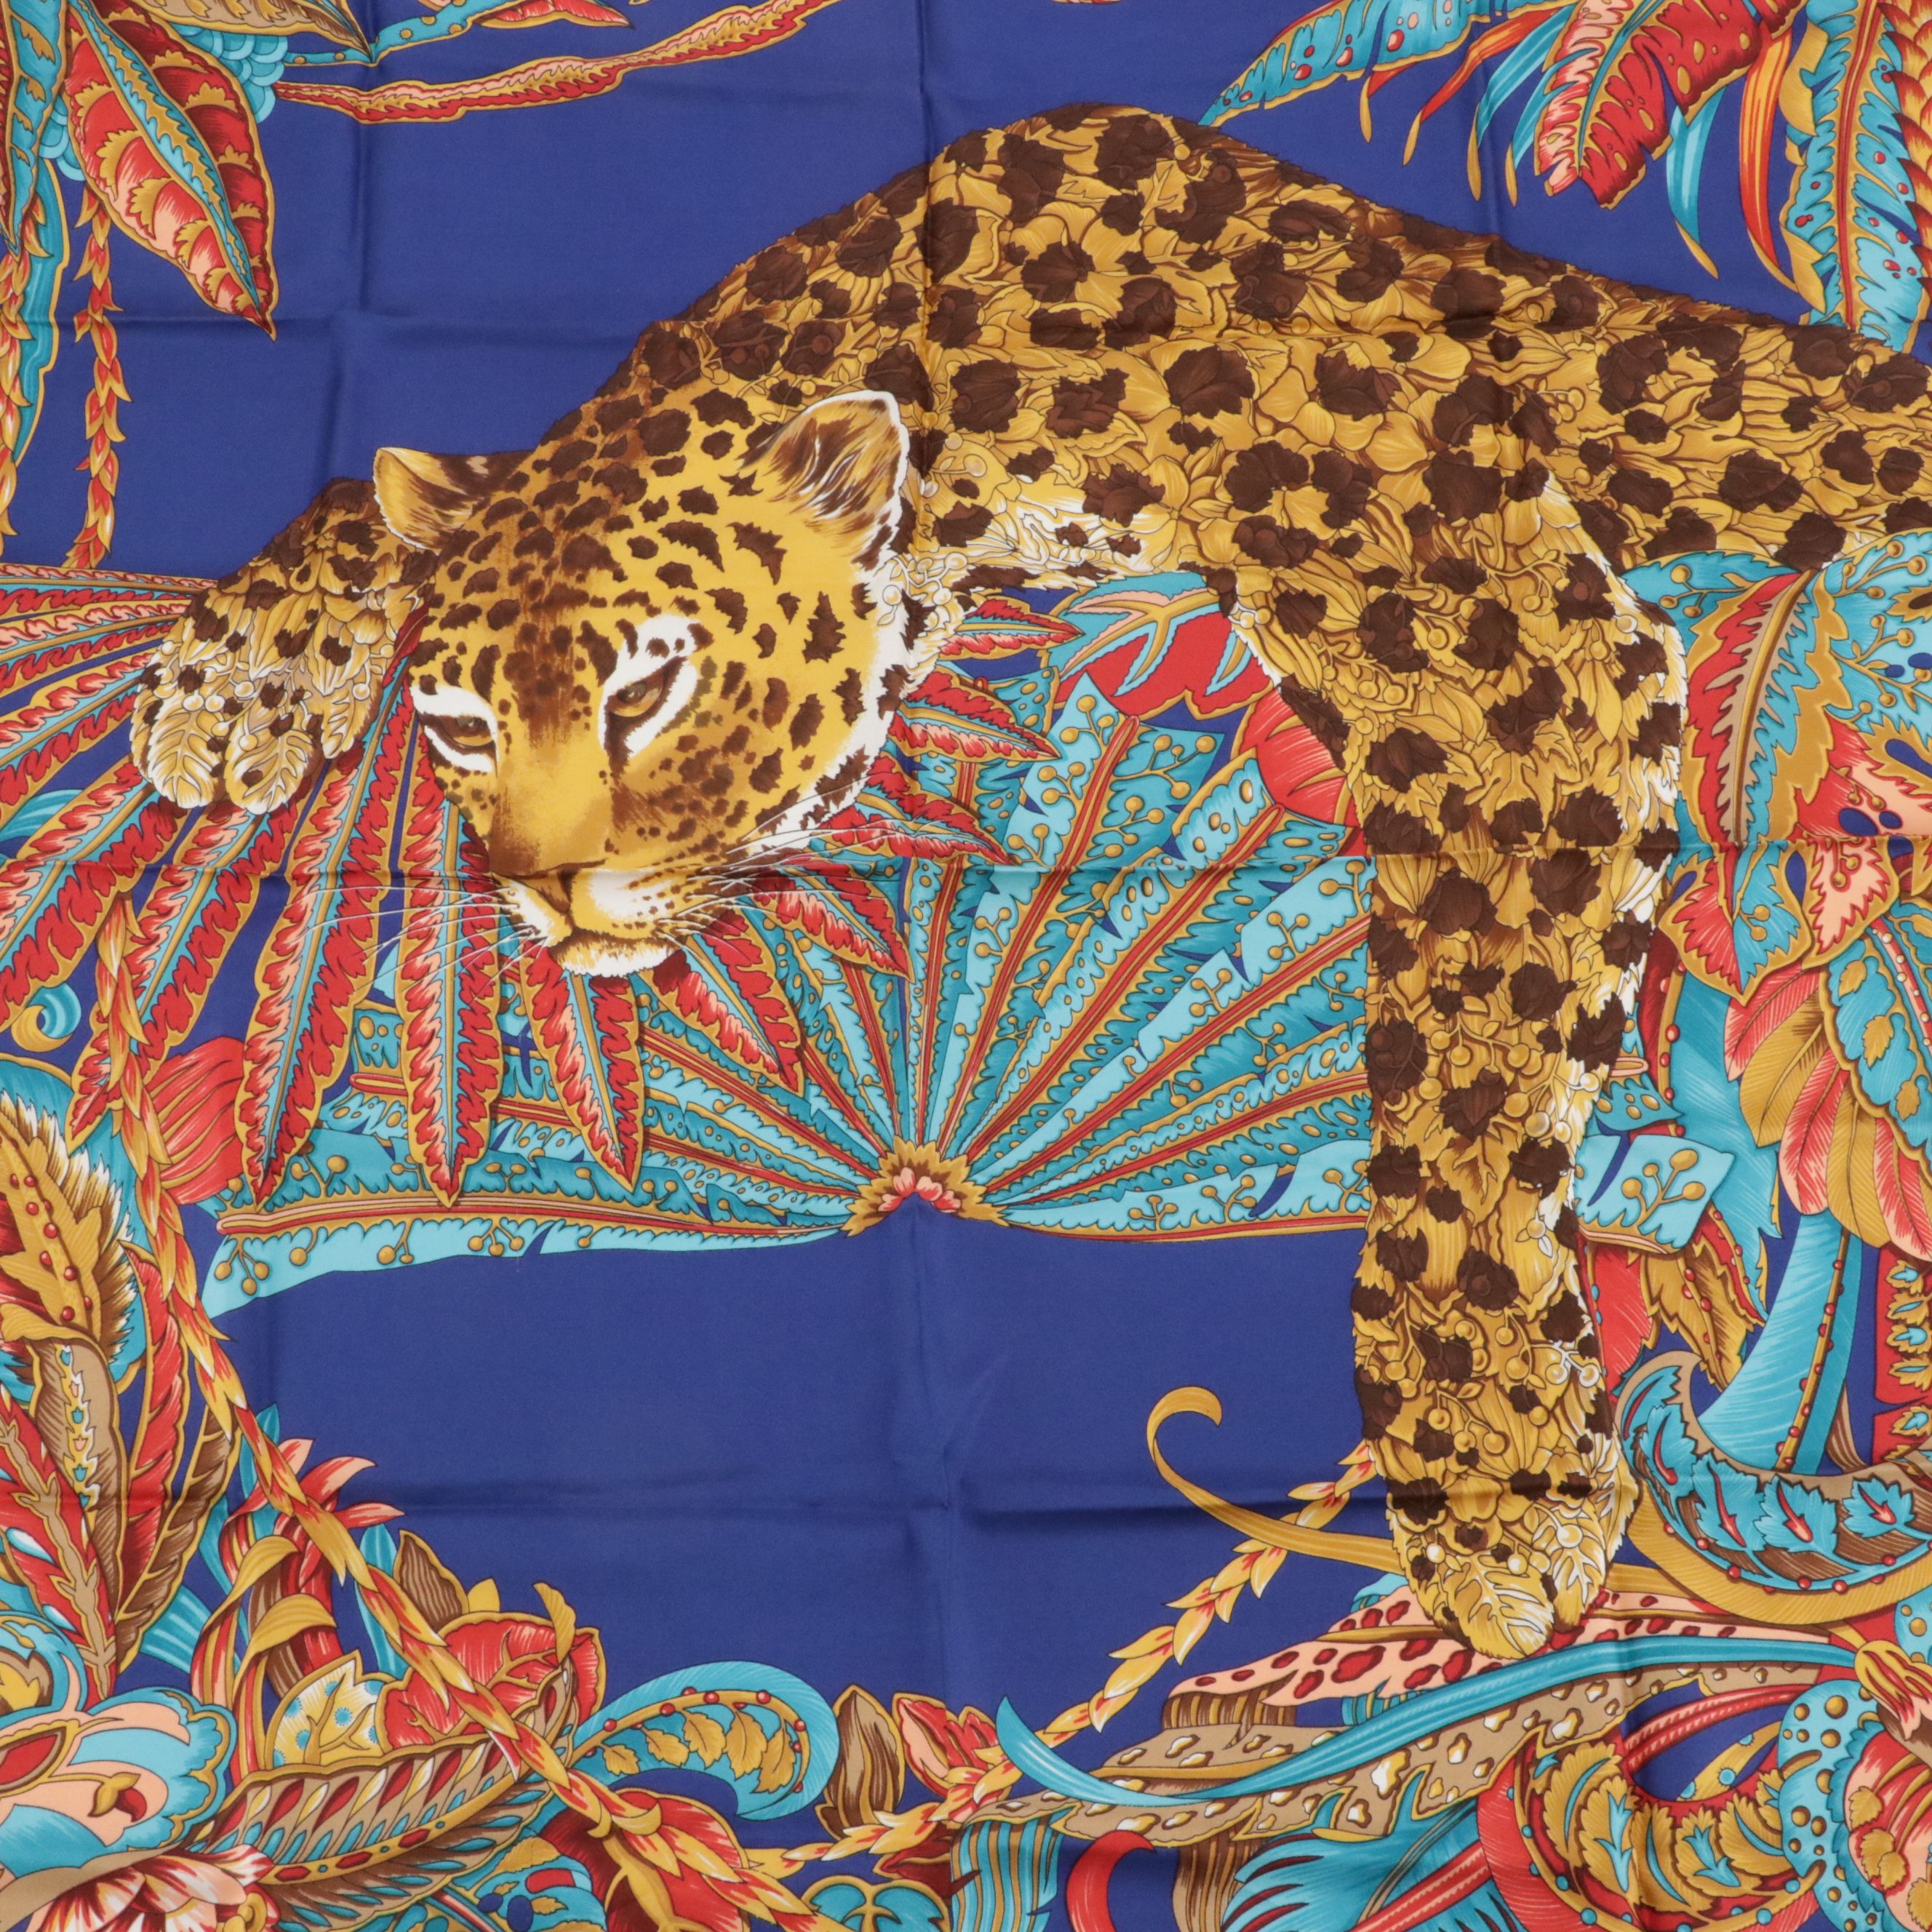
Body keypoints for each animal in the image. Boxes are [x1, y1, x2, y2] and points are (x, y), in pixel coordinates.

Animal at [129, 102, 1932, 1660]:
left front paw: (1496, 1476)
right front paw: (235, 675)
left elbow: (1459, 1093)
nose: (546, 893)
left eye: (650, 690)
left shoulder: (1502, 675)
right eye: (453, 726)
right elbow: (392, 497)